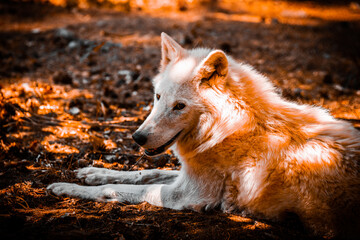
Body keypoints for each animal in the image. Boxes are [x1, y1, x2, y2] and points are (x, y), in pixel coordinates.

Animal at [49, 32, 360, 238]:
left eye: (179, 106)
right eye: (158, 97)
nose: (138, 137)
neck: (226, 128)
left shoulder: (186, 194)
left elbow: (119, 189)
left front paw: (67, 188)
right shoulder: (187, 174)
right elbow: (142, 173)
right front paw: (91, 172)